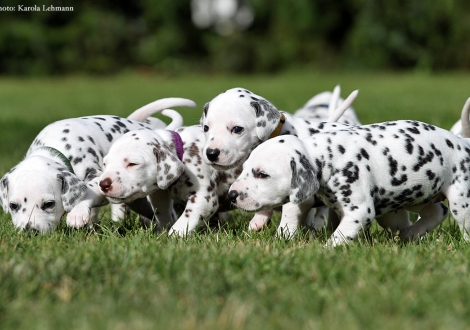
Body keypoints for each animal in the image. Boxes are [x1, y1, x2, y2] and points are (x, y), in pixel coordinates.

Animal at [0, 97, 195, 232]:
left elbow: (89, 191)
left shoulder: (96, 177)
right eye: (13, 206)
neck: (57, 144)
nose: (29, 231)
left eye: (49, 204)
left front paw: (78, 214)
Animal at [98, 124, 241, 235]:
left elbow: (183, 222)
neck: (182, 151)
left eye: (133, 164)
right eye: (105, 164)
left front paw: (174, 237)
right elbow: (163, 215)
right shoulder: (159, 195)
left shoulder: (204, 198)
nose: (103, 184)